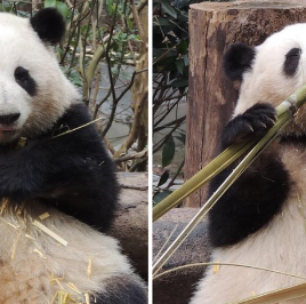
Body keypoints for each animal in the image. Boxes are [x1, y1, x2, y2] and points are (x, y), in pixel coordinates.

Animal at [0, 7, 146, 304]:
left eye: (22, 76)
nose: (6, 116)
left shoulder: (69, 120)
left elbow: (97, 193)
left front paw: (7, 174)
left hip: (87, 280)